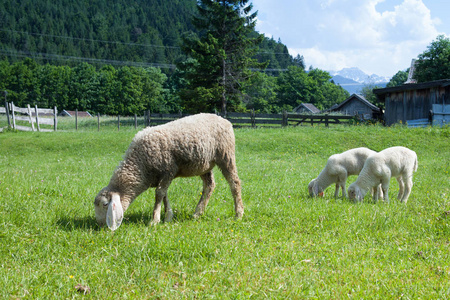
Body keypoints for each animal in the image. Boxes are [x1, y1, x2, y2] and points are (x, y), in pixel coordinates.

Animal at [92, 113, 244, 230]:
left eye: (105, 205)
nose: (100, 225)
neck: (140, 165)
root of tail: (224, 119)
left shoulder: (168, 170)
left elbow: (159, 194)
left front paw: (155, 220)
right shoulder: (161, 176)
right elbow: (164, 195)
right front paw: (168, 216)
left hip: (225, 155)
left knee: (234, 183)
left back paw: (238, 213)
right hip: (204, 164)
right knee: (209, 185)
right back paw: (198, 212)